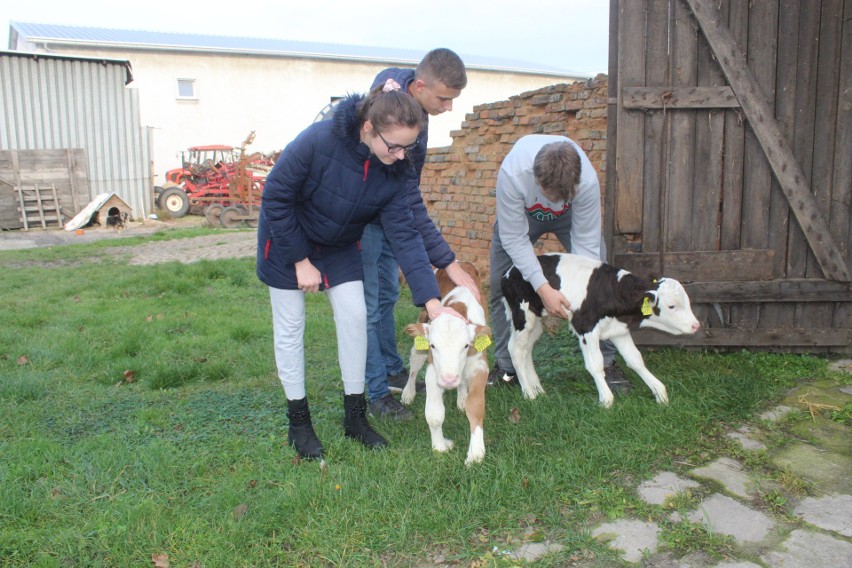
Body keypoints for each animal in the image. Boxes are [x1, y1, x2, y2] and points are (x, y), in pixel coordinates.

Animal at [406, 264, 492, 464]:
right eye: (433, 345)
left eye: (466, 345)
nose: (448, 380)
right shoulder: (433, 372)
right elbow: (434, 415)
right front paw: (440, 446)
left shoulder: (480, 366)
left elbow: (476, 407)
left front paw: (476, 452)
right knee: (414, 363)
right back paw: (407, 393)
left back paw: (461, 398)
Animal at [500, 254, 700, 408]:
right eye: (671, 306)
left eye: (688, 301)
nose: (696, 325)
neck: (612, 292)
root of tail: (509, 272)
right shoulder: (585, 327)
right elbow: (595, 363)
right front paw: (606, 400)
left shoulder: (619, 330)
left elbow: (635, 360)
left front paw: (659, 393)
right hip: (522, 316)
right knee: (515, 349)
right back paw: (528, 393)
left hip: (535, 320)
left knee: (527, 349)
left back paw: (538, 389)